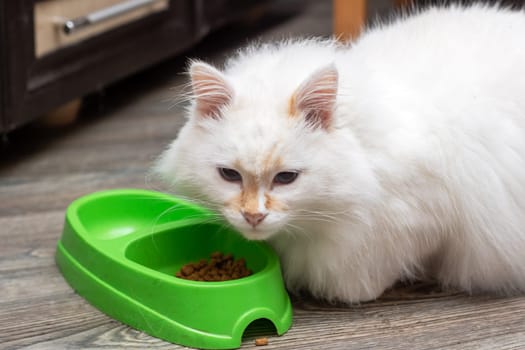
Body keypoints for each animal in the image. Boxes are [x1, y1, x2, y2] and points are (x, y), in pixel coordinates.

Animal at [155, 4, 524, 302]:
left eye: (286, 178)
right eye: (230, 175)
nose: (254, 216)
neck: (365, 149)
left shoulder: (421, 217)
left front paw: (355, 291)